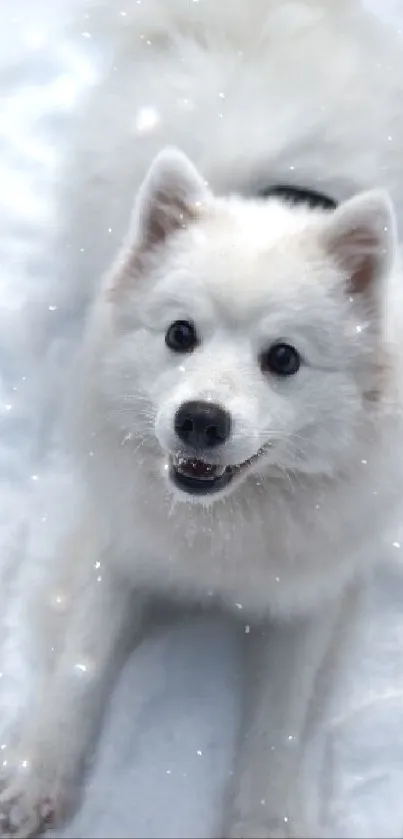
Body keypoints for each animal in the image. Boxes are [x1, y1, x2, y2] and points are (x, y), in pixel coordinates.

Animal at [2, 0, 403, 836]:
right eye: (179, 334)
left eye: (282, 358)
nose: (199, 421)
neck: (223, 529)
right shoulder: (119, 547)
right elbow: (80, 664)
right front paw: (35, 776)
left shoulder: (311, 593)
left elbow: (278, 722)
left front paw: (263, 819)